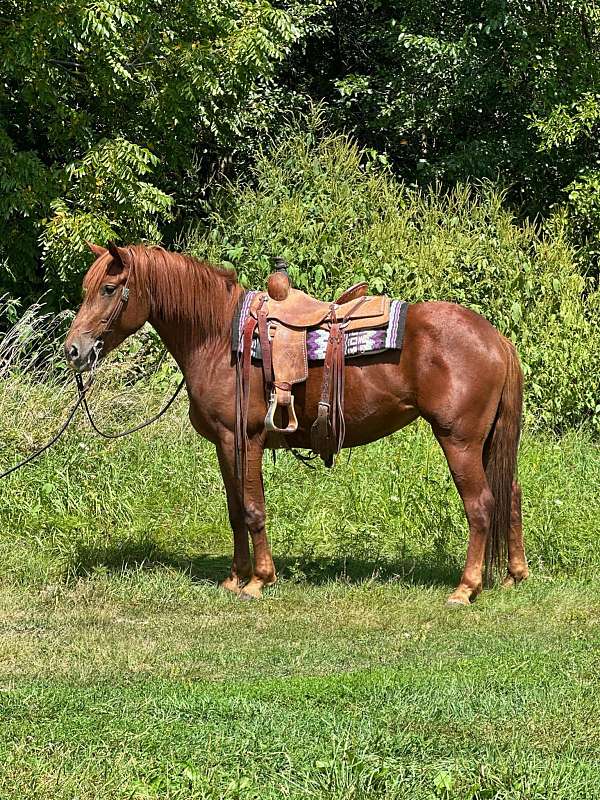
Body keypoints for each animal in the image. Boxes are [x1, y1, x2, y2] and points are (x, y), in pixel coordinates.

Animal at [63, 244, 528, 608]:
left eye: (108, 289)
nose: (73, 351)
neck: (217, 337)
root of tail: (497, 339)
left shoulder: (244, 439)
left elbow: (253, 509)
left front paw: (258, 581)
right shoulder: (224, 444)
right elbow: (235, 510)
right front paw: (234, 577)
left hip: (459, 440)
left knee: (481, 504)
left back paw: (466, 589)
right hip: (486, 441)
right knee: (510, 494)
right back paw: (514, 575)